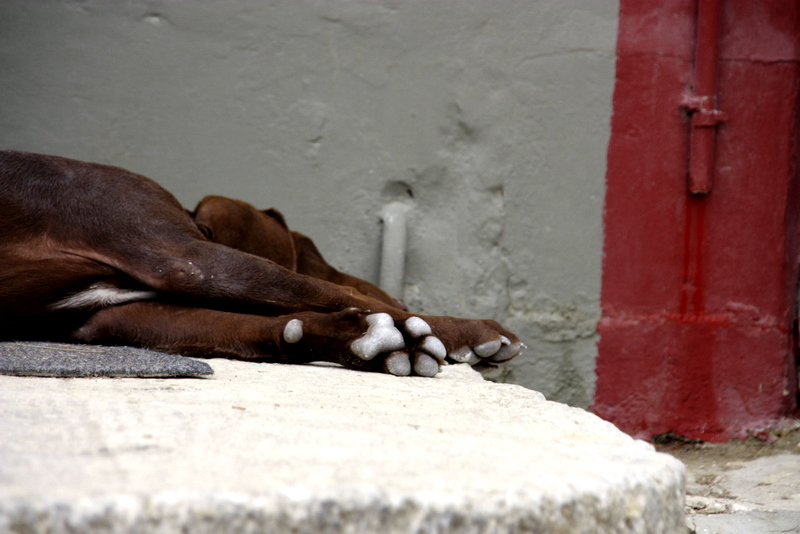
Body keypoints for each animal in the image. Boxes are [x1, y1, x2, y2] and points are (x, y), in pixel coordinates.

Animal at [0, 151, 520, 376]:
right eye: (319, 258)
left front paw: (356, 342)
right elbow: (332, 292)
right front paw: (455, 331)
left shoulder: (106, 317)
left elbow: (256, 329)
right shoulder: (182, 255)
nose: (399, 299)